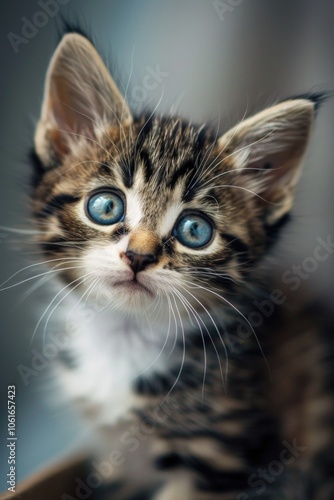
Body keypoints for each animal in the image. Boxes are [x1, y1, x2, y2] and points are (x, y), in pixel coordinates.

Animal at [29, 33, 334, 498]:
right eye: (105, 206)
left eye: (195, 230)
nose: (139, 256)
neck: (125, 338)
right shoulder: (114, 456)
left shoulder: (219, 458)